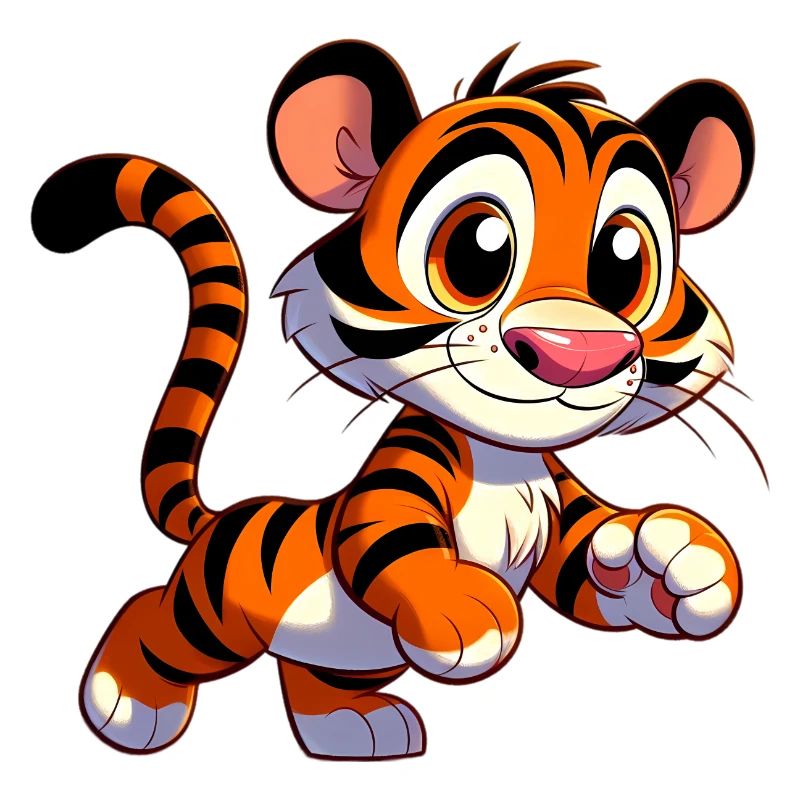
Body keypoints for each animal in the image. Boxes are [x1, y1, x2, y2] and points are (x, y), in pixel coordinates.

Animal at [31, 40, 755, 760]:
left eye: (624, 261)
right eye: (477, 248)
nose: (576, 353)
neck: (505, 462)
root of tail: (222, 517)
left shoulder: (558, 507)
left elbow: (592, 560)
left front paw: (678, 563)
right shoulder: (403, 473)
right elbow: (387, 536)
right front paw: (465, 609)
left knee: (309, 678)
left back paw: (355, 726)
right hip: (213, 615)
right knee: (153, 615)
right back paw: (126, 703)